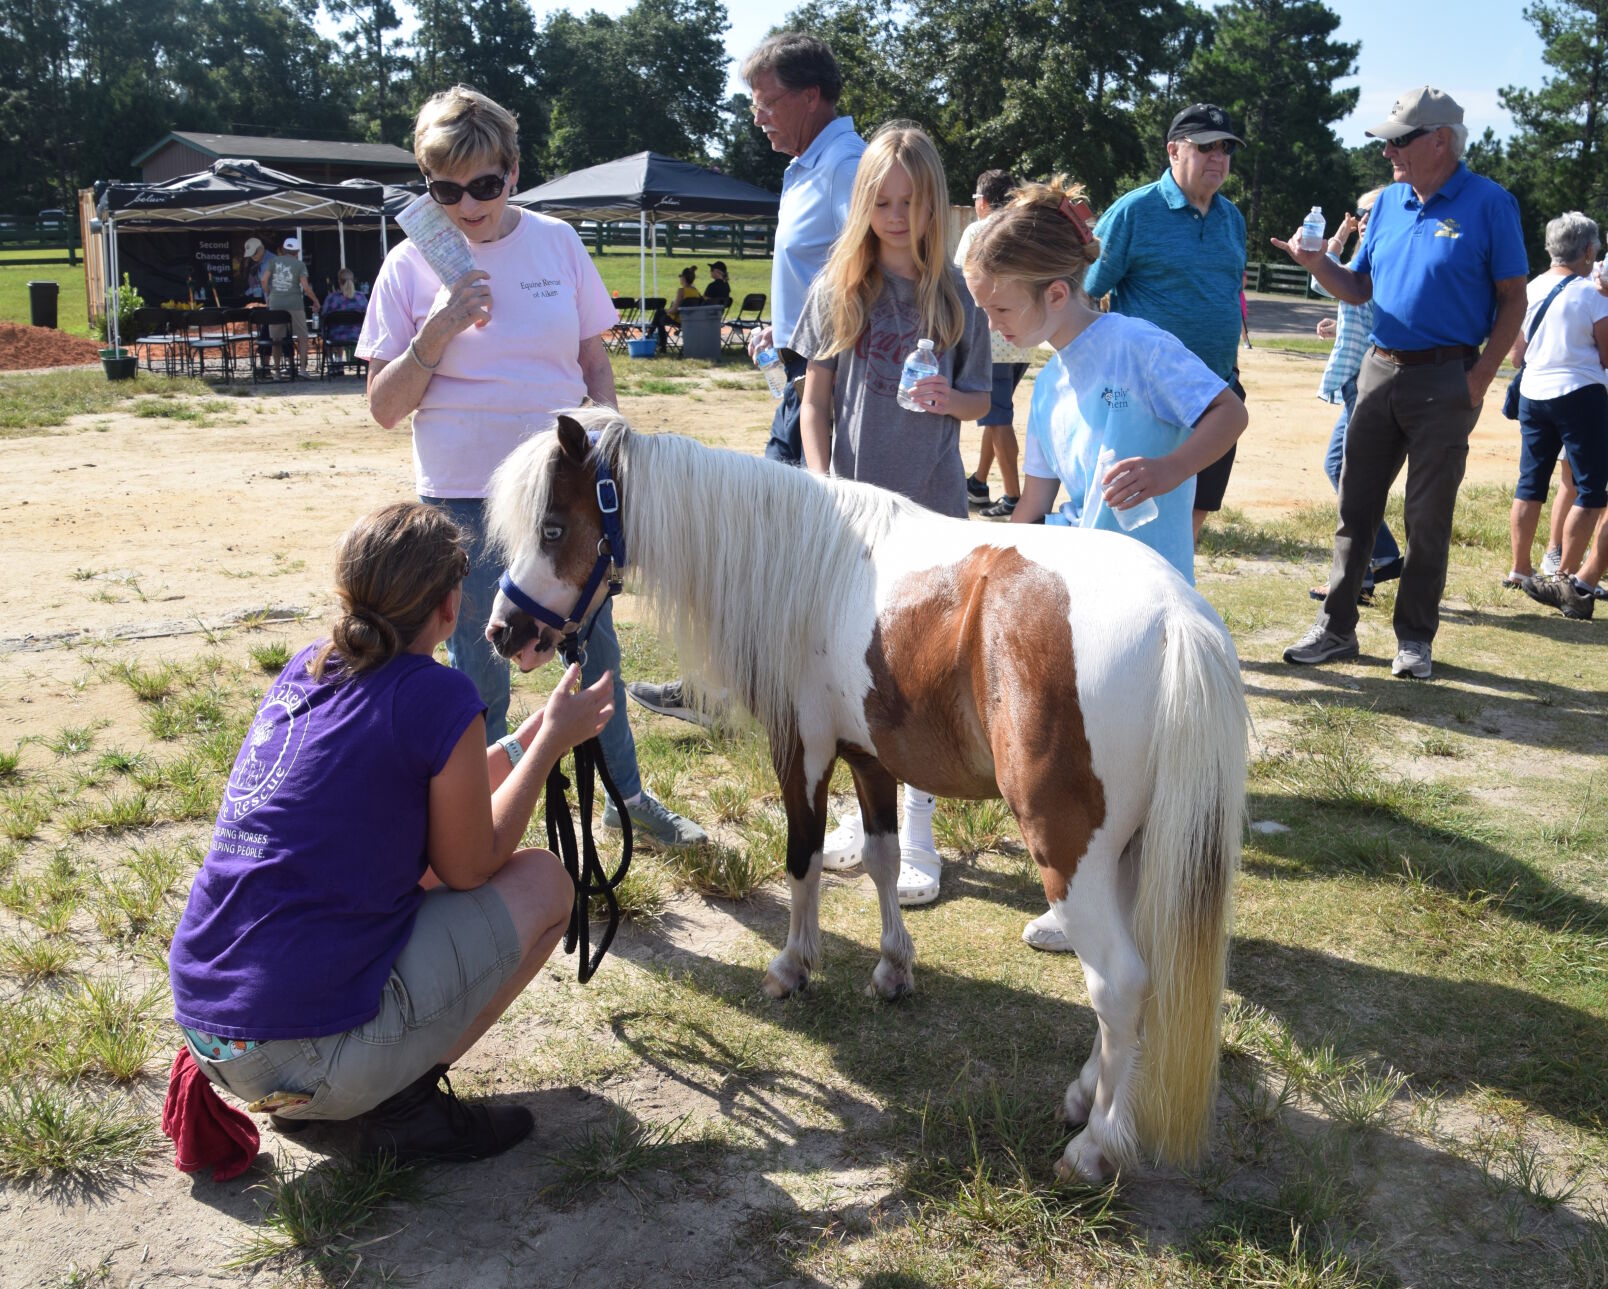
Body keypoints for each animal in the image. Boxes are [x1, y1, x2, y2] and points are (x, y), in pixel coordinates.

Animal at [482, 409, 1247, 1176]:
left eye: (553, 526)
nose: (503, 631)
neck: (811, 565)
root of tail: (1177, 619)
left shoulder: (802, 749)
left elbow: (803, 859)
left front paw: (793, 965)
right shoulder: (872, 758)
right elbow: (880, 859)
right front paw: (892, 968)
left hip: (1070, 852)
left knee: (1119, 982)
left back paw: (1094, 1147)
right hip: (1127, 853)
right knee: (1129, 982)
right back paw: (1085, 1095)